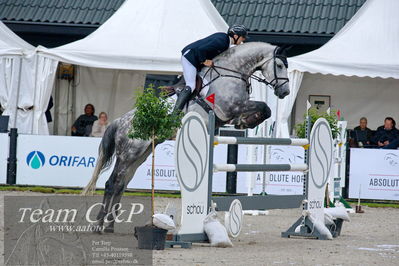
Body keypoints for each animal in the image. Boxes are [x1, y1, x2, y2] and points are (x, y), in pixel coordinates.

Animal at [83, 42, 290, 233]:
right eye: (279, 65)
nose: (285, 92)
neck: (232, 72)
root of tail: (120, 121)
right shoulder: (231, 107)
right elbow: (264, 107)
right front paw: (246, 121)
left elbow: (265, 109)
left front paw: (245, 122)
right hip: (129, 153)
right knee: (112, 183)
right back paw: (98, 225)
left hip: (141, 154)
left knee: (121, 184)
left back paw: (110, 226)